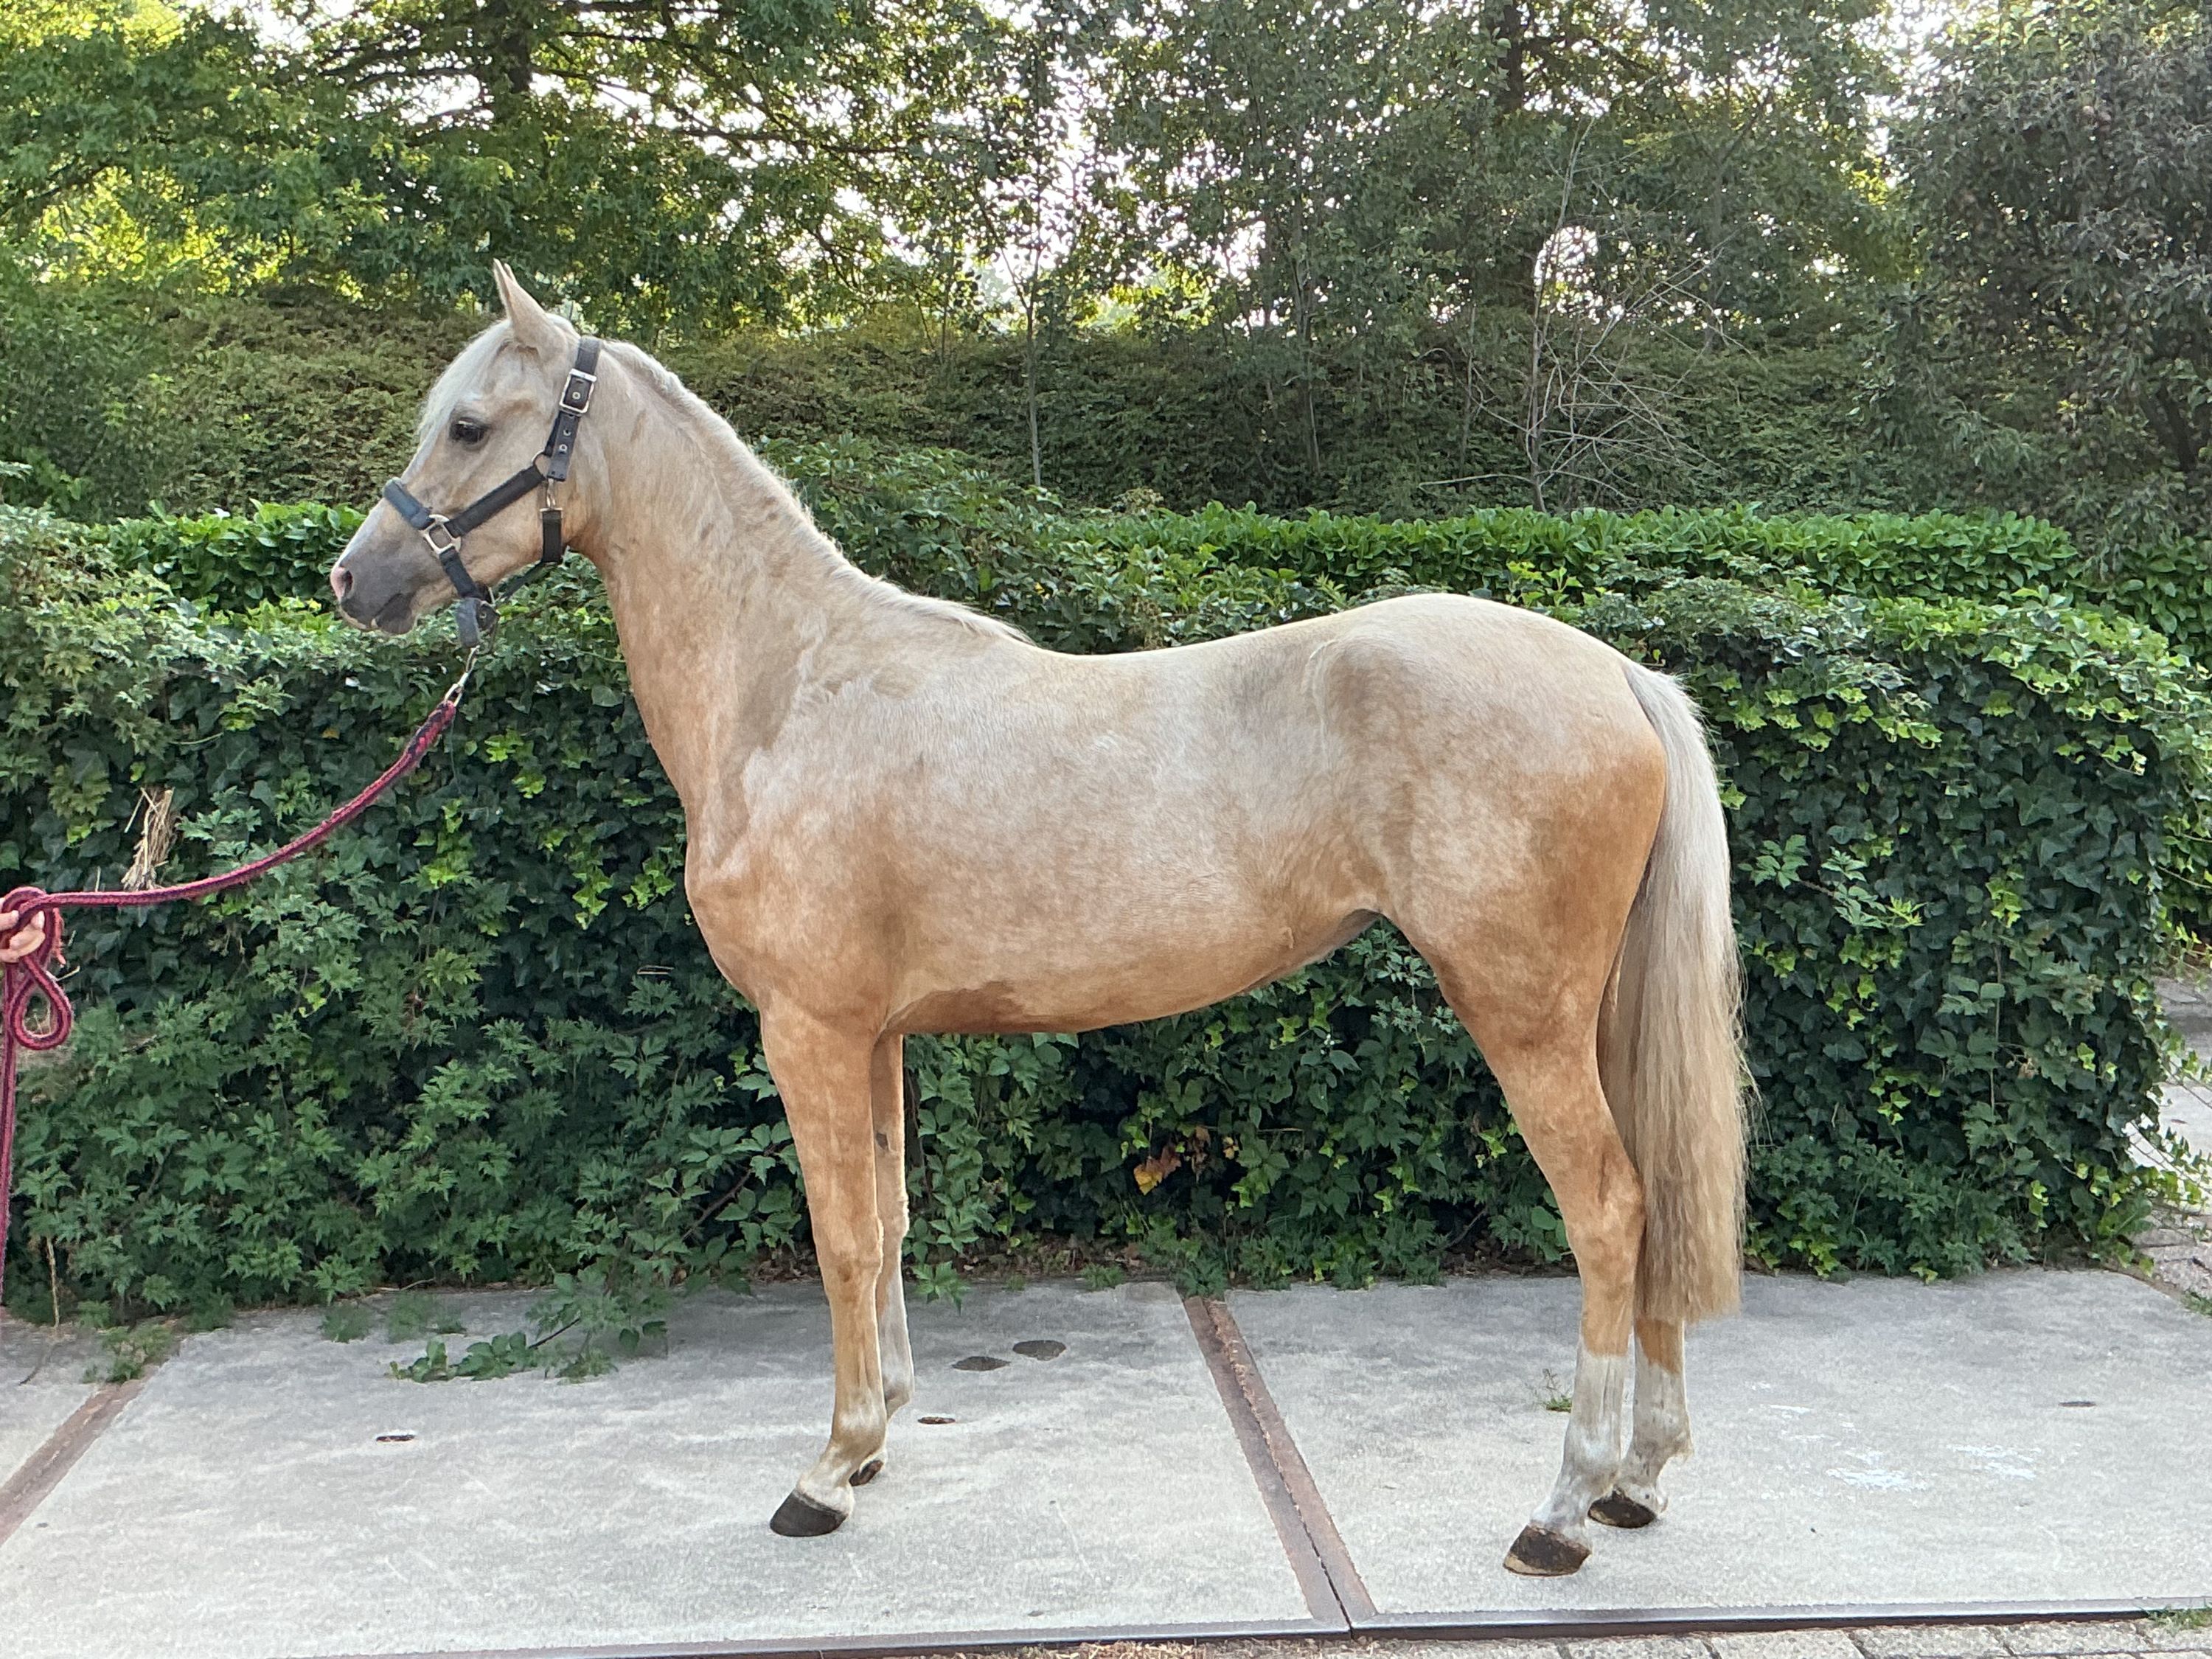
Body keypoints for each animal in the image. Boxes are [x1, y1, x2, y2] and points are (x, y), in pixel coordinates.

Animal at [329, 263, 1748, 1578]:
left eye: (470, 425)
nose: (357, 579)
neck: (790, 688)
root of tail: (1617, 673)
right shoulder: (874, 1036)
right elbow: (891, 1222)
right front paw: (881, 1435)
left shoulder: (808, 1029)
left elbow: (840, 1237)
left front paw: (828, 1471)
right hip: (1594, 1016)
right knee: (1659, 1205)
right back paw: (1639, 1480)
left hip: (1522, 1013)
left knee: (1609, 1212)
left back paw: (1563, 1509)